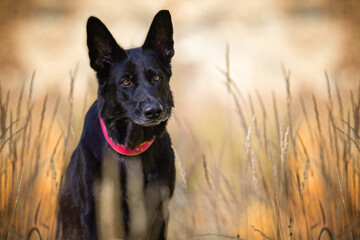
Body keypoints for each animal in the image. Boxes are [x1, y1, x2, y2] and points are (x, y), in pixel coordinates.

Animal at [58, 10, 176, 239]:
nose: (154, 111)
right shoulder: (95, 217)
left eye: (156, 77)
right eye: (126, 82)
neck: (132, 150)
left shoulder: (160, 215)